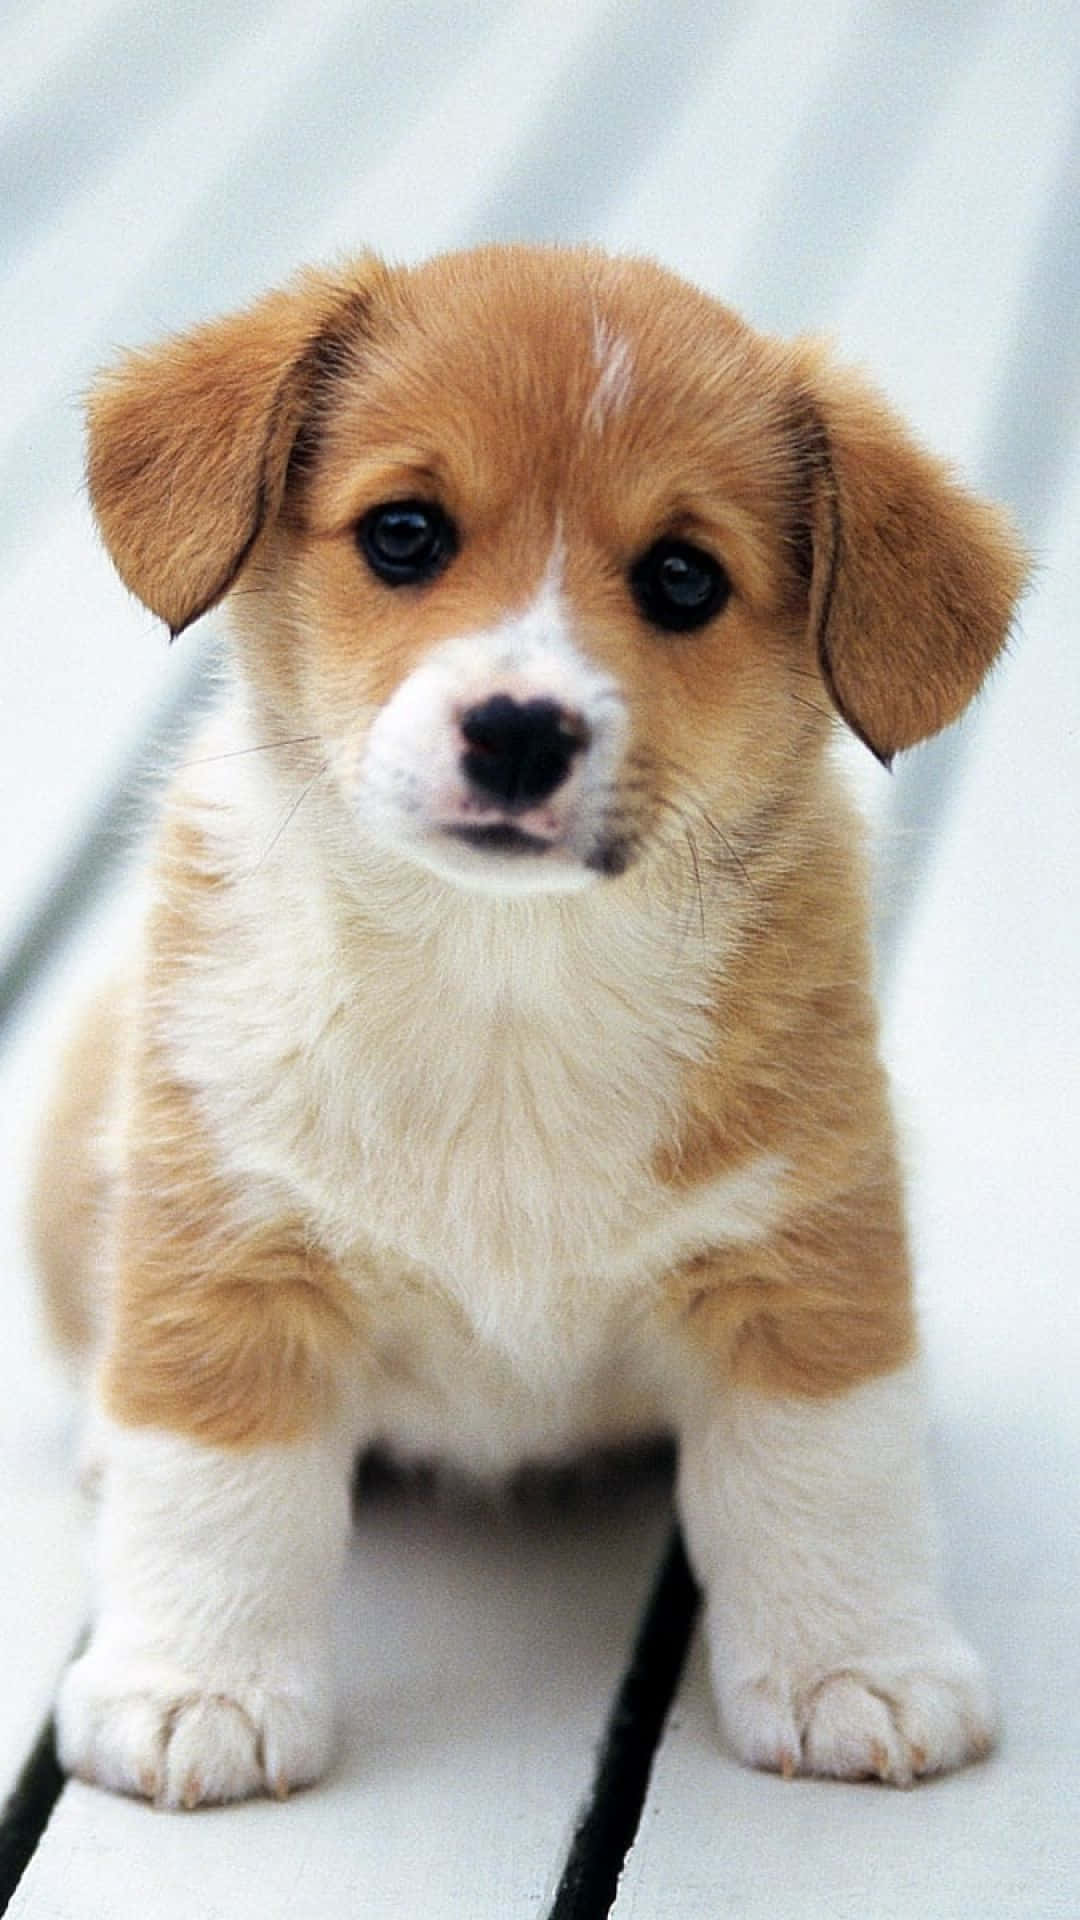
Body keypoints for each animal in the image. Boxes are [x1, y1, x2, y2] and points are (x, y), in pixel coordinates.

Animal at [31, 247, 1022, 1804]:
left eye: (682, 576)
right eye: (404, 533)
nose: (516, 730)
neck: (506, 971)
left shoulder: (804, 1255)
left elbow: (824, 1482)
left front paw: (855, 1667)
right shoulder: (232, 1243)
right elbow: (213, 1492)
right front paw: (195, 1689)